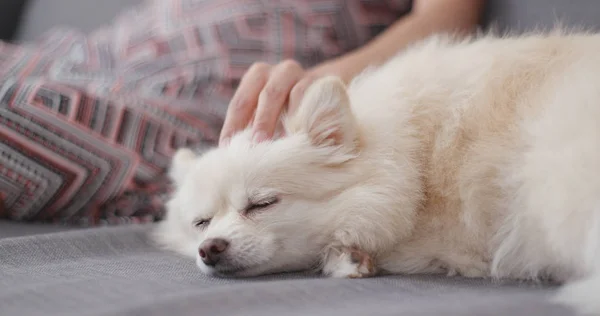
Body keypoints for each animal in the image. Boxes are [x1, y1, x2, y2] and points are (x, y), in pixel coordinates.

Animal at [154, 29, 600, 314]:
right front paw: (348, 257)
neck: (418, 162)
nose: (209, 248)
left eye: (262, 204)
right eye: (201, 223)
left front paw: (344, 256)